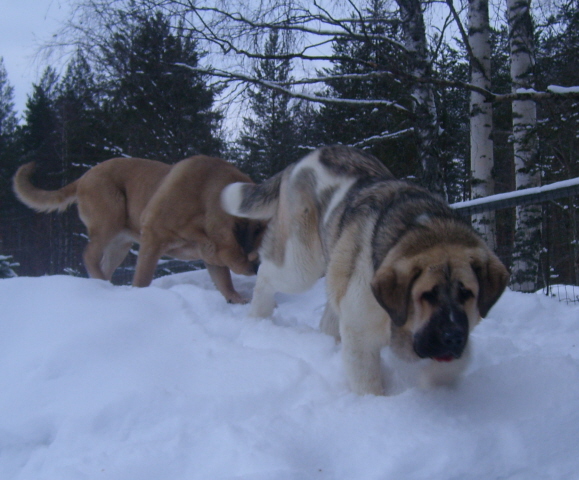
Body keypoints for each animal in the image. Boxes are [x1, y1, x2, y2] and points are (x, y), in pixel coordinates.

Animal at [13, 156, 266, 302]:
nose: (258, 268)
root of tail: (84, 176)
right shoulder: (153, 237)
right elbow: (143, 277)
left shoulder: (211, 253)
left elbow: (225, 282)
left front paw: (236, 300)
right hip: (109, 218)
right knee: (89, 255)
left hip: (120, 244)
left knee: (104, 264)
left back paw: (104, 285)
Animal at [222, 145, 508, 394]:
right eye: (427, 295)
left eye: (467, 293)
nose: (453, 338)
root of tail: (301, 161)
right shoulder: (360, 330)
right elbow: (367, 381)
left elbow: (451, 367)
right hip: (301, 263)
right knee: (267, 276)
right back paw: (257, 317)